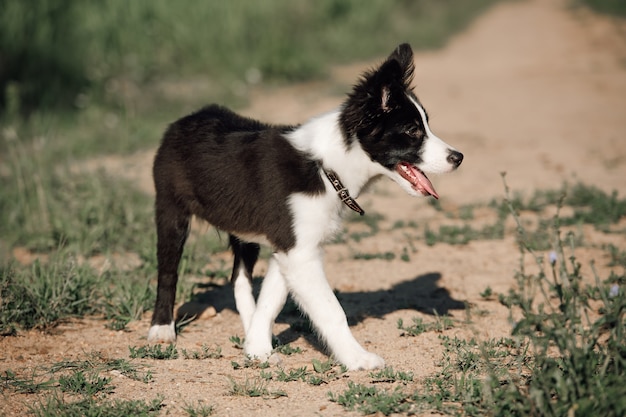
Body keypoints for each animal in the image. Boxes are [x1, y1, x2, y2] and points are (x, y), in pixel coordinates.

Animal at [145, 42, 458, 368]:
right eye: (412, 131)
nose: (458, 158)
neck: (327, 167)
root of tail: (186, 119)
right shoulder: (299, 252)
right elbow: (332, 310)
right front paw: (358, 359)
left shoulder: (291, 245)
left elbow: (272, 299)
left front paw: (257, 348)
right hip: (170, 209)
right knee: (167, 272)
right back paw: (161, 329)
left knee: (240, 279)